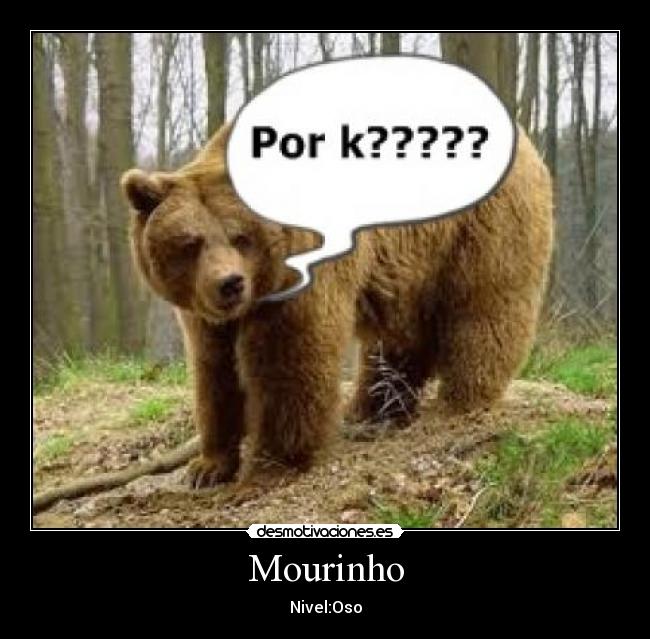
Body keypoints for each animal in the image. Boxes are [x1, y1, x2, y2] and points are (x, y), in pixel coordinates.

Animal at [121, 123, 553, 489]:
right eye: (190, 242)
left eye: (240, 237)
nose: (230, 284)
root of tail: (527, 140)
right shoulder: (203, 312)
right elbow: (214, 369)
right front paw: (207, 467)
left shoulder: (299, 276)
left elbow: (290, 357)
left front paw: (273, 463)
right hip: (409, 261)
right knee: (400, 336)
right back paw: (375, 407)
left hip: (479, 225)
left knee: (483, 307)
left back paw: (463, 398)